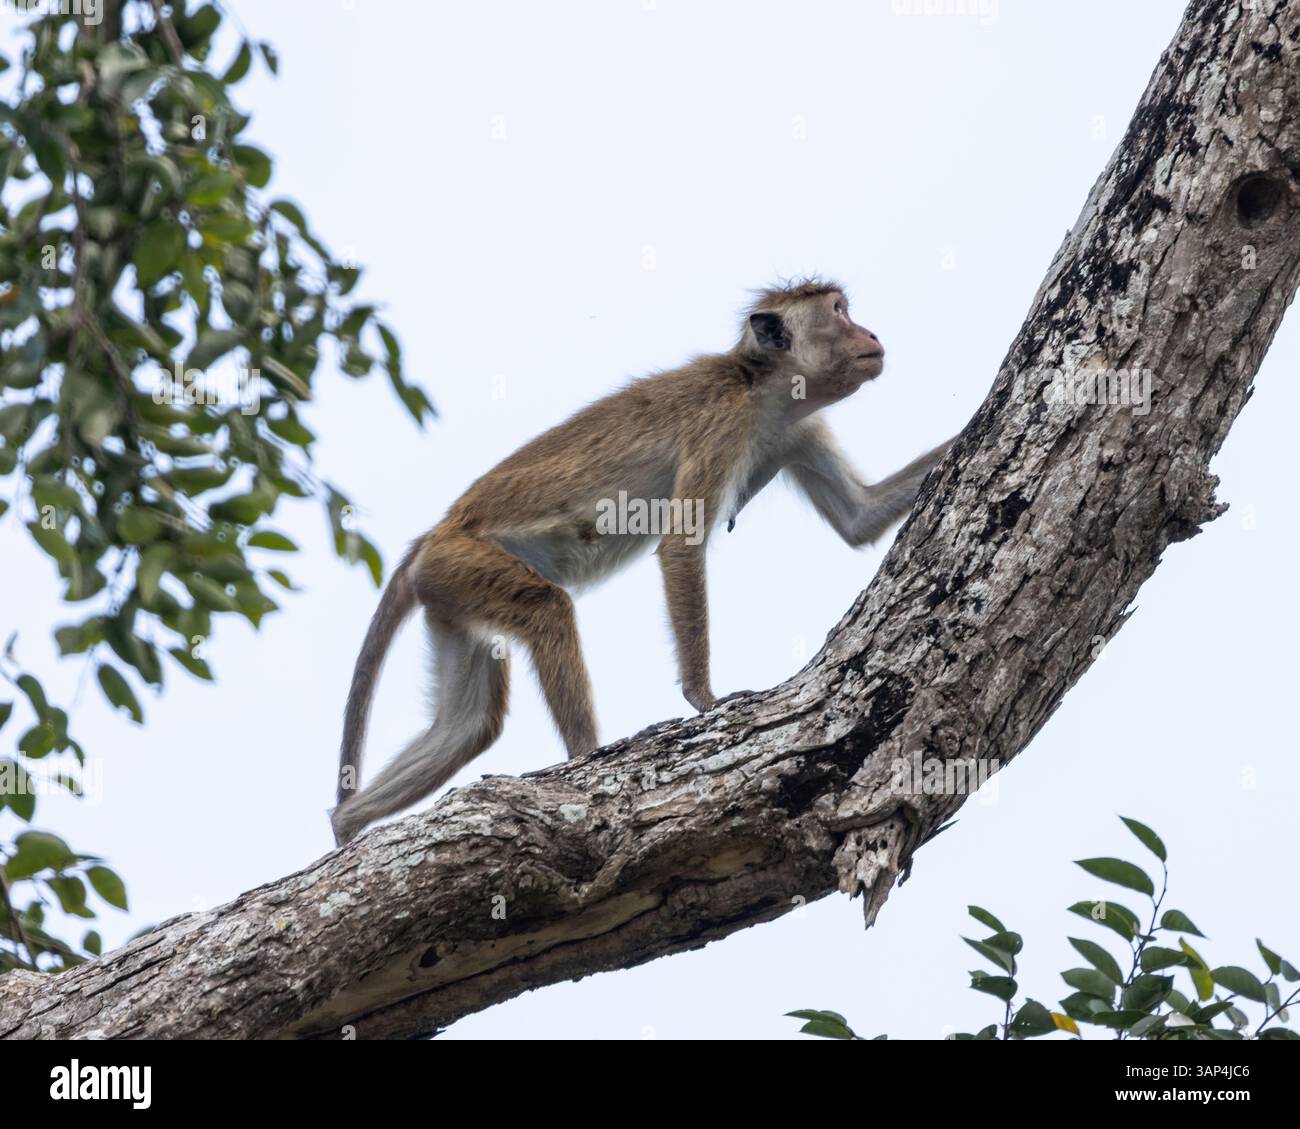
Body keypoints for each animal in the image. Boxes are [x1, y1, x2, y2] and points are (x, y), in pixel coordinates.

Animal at [329, 277, 955, 846]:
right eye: (839, 311)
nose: (870, 333)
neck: (761, 389)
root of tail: (432, 536)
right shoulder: (723, 425)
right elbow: (680, 544)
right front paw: (704, 698)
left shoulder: (798, 428)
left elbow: (860, 519)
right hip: (463, 561)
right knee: (545, 609)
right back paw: (584, 763)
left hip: (449, 591)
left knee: (466, 727)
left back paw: (347, 822)